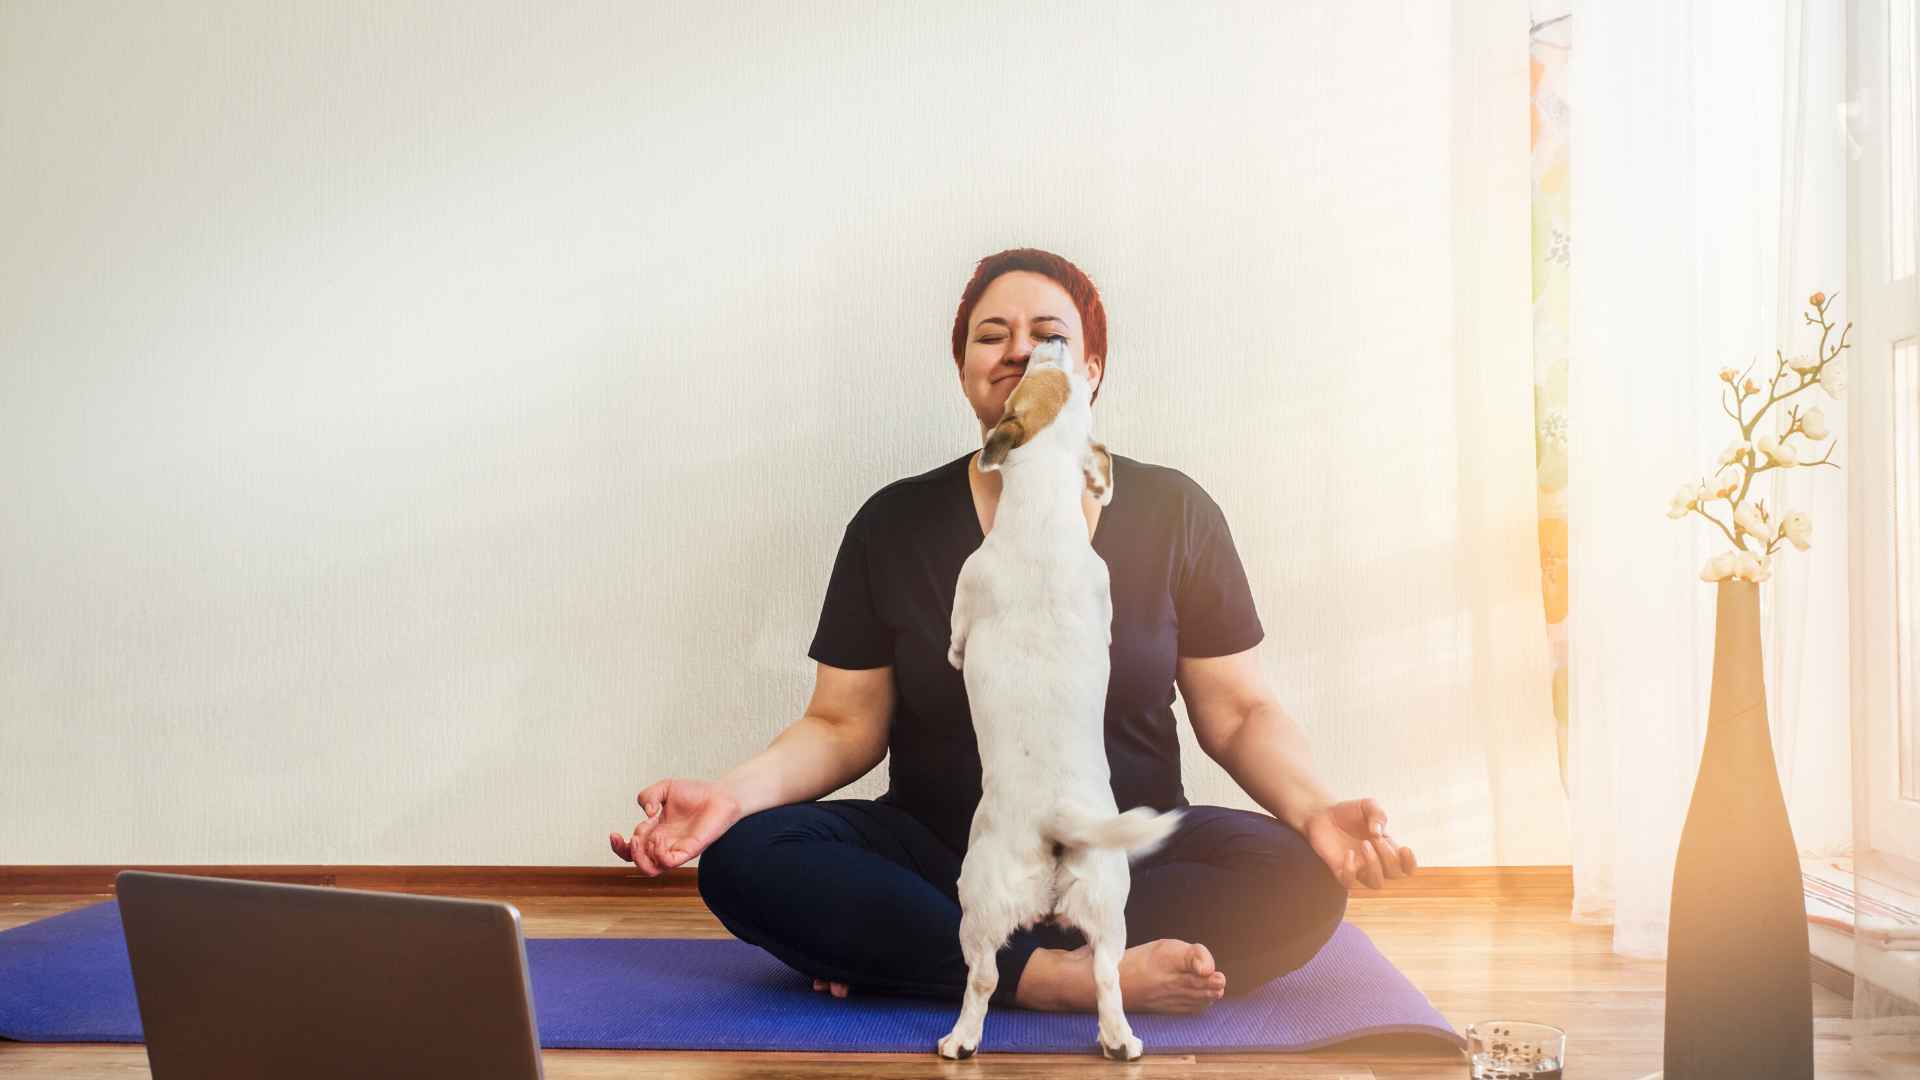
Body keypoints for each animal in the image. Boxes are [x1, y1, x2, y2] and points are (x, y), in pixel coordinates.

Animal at [936, 338, 1175, 1060]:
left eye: (1042, 368)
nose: (1056, 340)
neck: (1042, 502)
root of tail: (1055, 822)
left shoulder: (967, 592)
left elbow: (956, 635)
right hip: (1108, 897)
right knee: (1106, 974)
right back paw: (1120, 1040)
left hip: (979, 896)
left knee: (984, 976)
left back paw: (960, 1040)